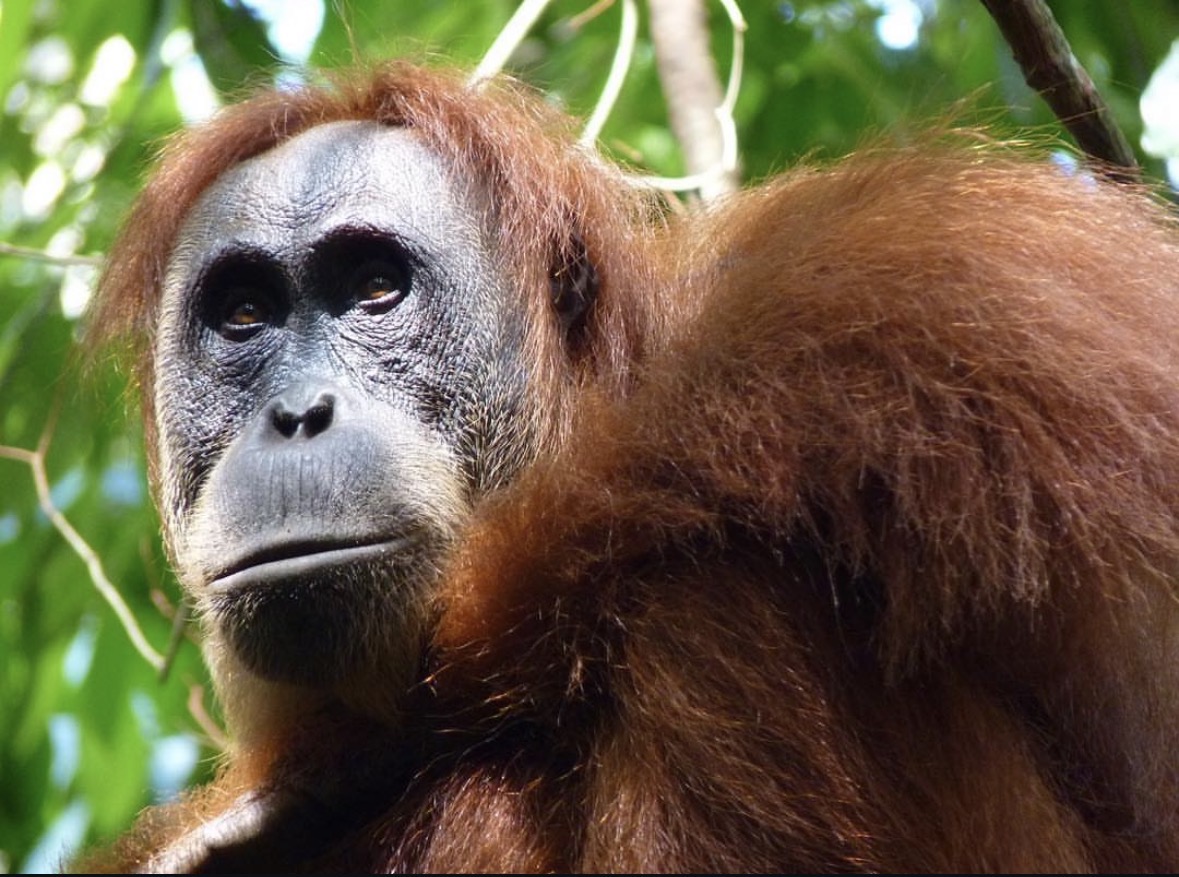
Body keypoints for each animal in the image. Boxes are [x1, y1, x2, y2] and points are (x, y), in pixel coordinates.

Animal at [82, 61, 1179, 872]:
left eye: (376, 287)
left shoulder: (935, 276)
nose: (298, 415)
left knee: (710, 599)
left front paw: (317, 776)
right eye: (244, 314)